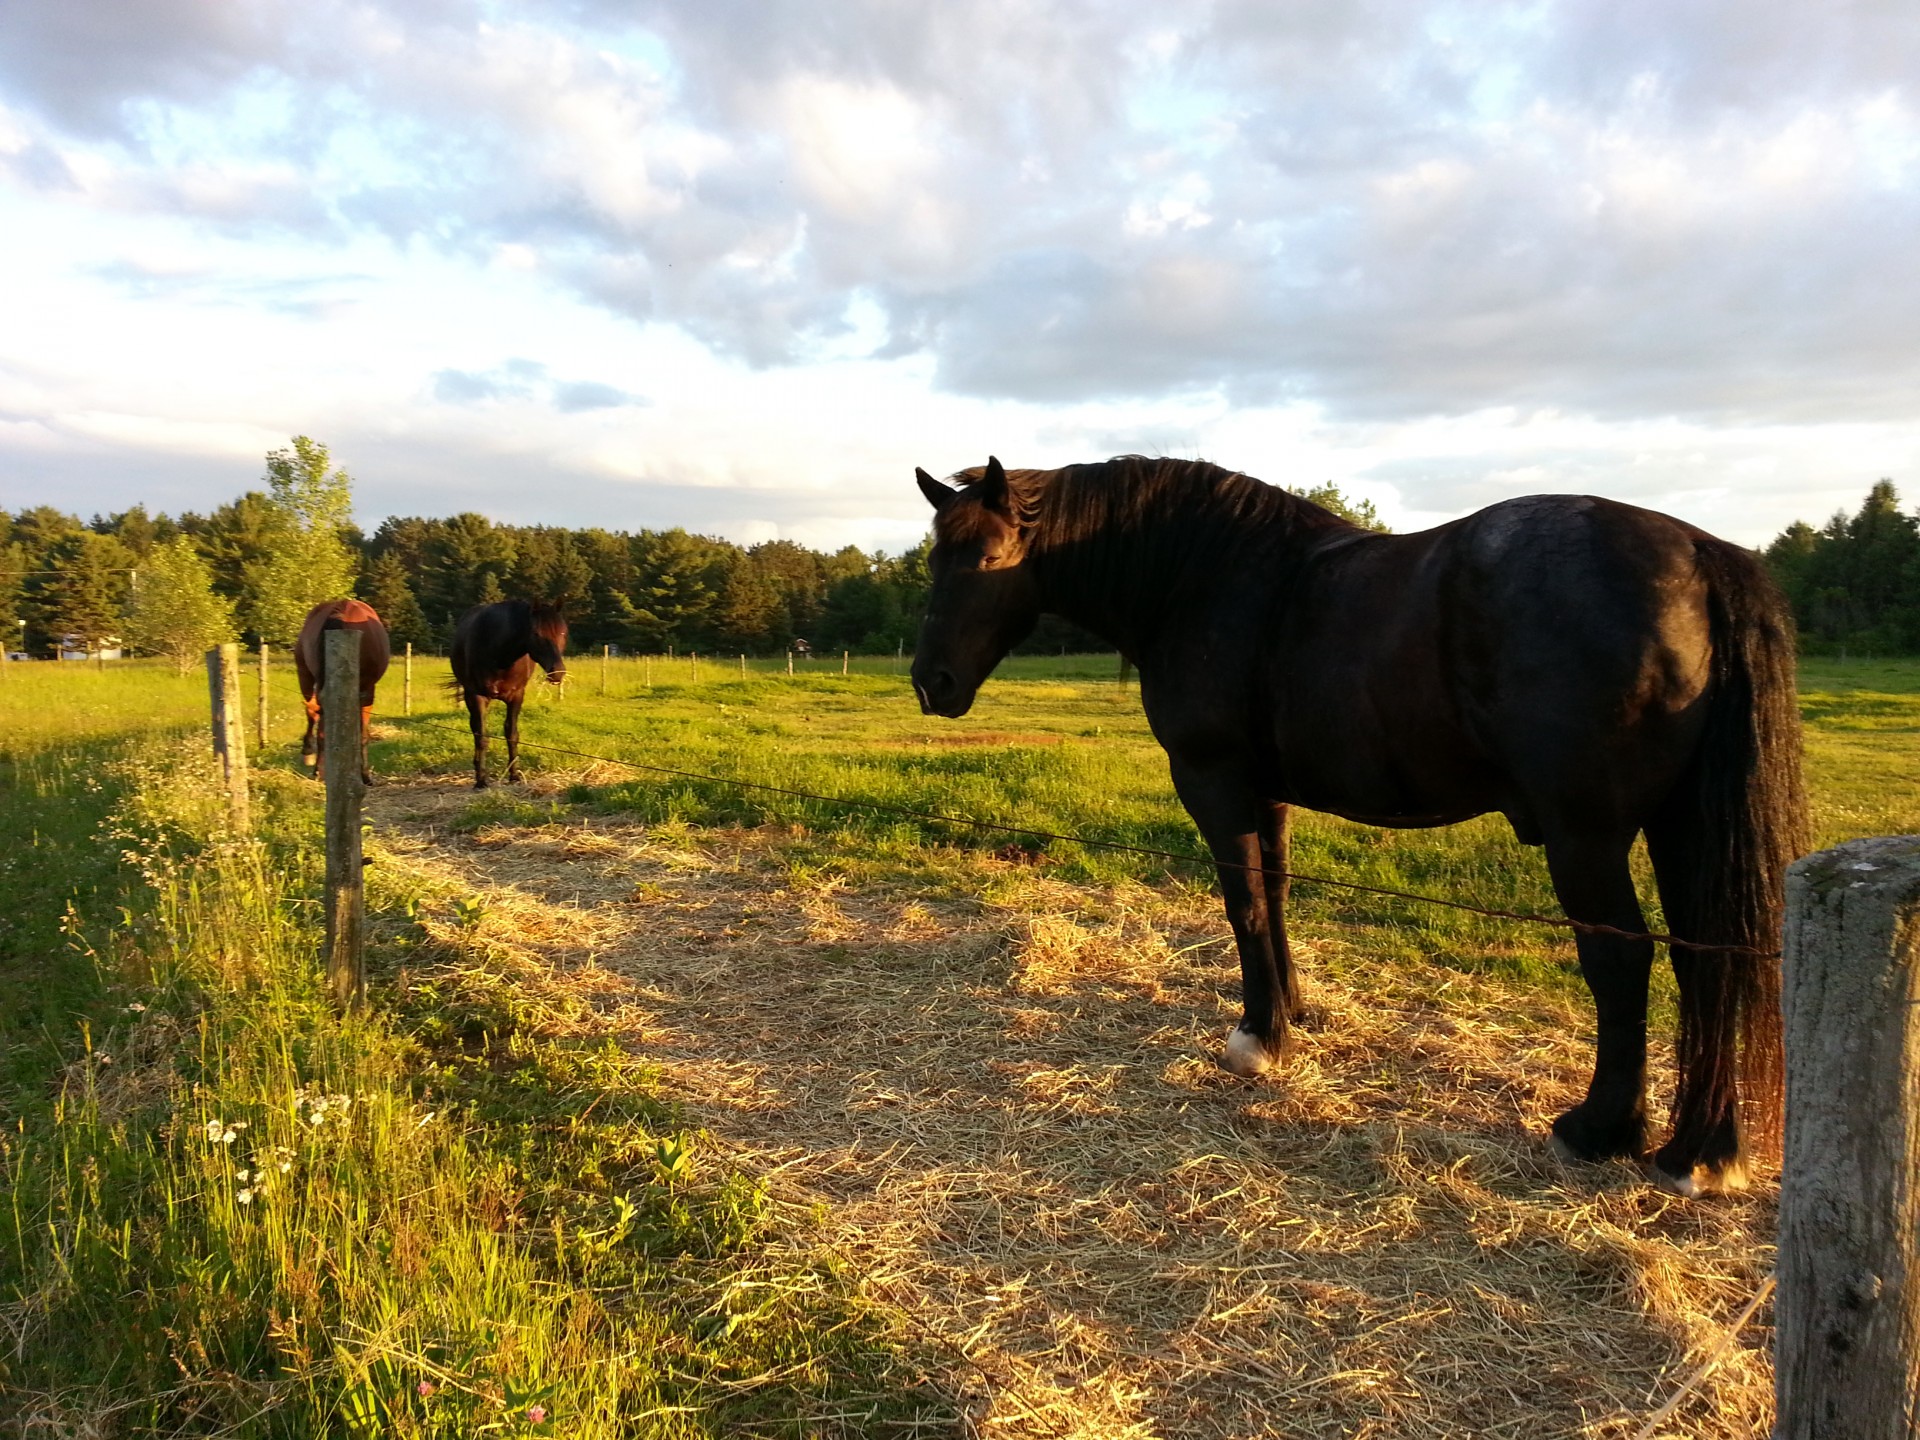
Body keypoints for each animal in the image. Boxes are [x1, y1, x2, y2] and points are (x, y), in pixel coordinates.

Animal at [291, 599, 389, 791]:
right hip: (304, 673)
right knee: (310, 714)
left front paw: (364, 775)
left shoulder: (365, 693)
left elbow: (361, 735)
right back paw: (308, 752)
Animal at [445, 602, 564, 794]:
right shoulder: (478, 696)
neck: (500, 654)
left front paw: (514, 776)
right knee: (475, 729)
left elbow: (511, 733)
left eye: (562, 632)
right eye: (536, 634)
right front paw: (481, 781)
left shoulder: (516, 696)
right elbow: (482, 736)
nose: (557, 672)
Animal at [906, 456, 1804, 1198]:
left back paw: (1599, 1130)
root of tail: (1697, 552)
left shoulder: (1213, 781)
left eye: (986, 559)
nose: (931, 683)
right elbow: (1275, 895)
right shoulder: (1266, 795)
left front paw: (1258, 1039)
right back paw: (1699, 1153)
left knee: (1623, 960)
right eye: (933, 561)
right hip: (1680, 828)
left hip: (1588, 837)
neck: (1207, 576)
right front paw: (1293, 1013)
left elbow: (1244, 905)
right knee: (1706, 962)